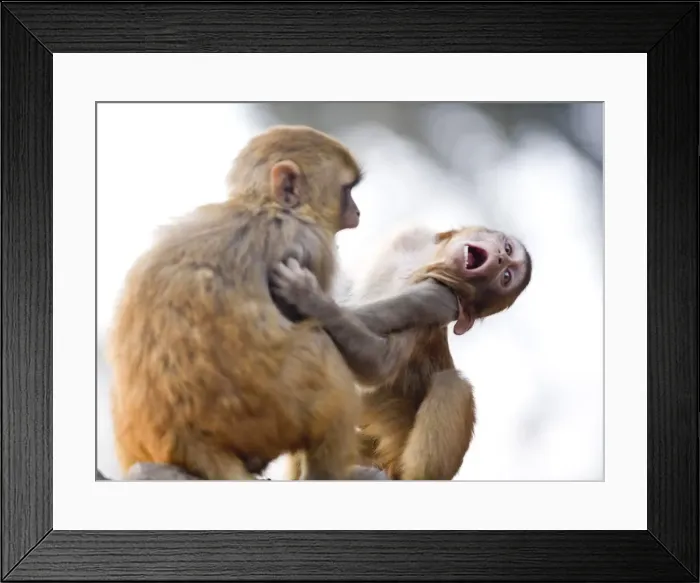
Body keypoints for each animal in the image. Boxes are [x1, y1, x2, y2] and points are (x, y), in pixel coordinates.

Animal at [108, 124, 390, 482]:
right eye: (347, 191)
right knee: (322, 348)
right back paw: (326, 475)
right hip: (274, 412)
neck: (266, 207)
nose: (357, 212)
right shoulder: (312, 247)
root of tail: (191, 443)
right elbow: (373, 364)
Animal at [269, 224, 532, 480]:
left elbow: (379, 362)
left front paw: (308, 296)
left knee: (453, 383)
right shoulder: (410, 237)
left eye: (505, 277)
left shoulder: (439, 298)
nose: (500, 259)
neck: (427, 259)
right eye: (507, 250)